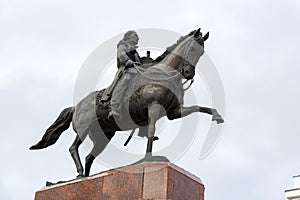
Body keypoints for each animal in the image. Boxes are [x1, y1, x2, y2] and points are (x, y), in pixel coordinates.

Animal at [29, 28, 223, 178]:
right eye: (192, 48)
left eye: (201, 52)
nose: (189, 73)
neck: (165, 75)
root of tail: (76, 106)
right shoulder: (154, 106)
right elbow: (151, 130)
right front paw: (149, 158)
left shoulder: (175, 112)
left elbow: (201, 108)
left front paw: (217, 116)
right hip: (84, 128)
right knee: (73, 148)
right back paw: (79, 173)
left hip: (103, 136)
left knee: (89, 157)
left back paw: (84, 176)